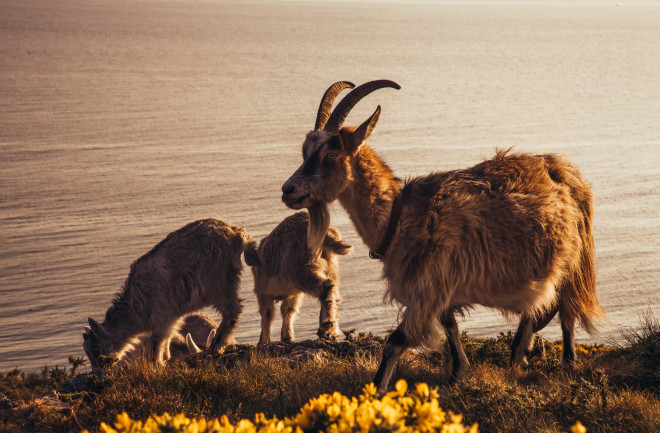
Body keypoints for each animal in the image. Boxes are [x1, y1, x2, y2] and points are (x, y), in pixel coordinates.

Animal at [82, 218, 253, 370]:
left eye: (96, 350)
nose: (100, 372)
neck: (136, 305)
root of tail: (236, 233)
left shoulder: (162, 316)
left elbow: (158, 342)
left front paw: (156, 364)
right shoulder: (172, 317)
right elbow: (167, 339)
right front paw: (166, 358)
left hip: (219, 283)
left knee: (233, 310)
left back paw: (216, 346)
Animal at [244, 210, 356, 344]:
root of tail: (327, 234)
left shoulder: (263, 292)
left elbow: (267, 313)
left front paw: (263, 341)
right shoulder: (293, 293)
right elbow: (288, 310)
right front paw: (287, 337)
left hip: (302, 270)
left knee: (326, 287)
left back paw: (326, 327)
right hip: (330, 265)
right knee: (334, 293)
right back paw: (331, 331)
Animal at [278, 79, 604, 390]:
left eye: (330, 154)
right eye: (305, 152)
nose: (288, 190)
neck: (401, 217)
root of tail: (565, 171)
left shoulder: (426, 288)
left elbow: (395, 342)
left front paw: (375, 391)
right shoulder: (441, 284)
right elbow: (450, 325)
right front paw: (458, 372)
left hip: (571, 258)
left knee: (566, 306)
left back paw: (566, 362)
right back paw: (518, 355)